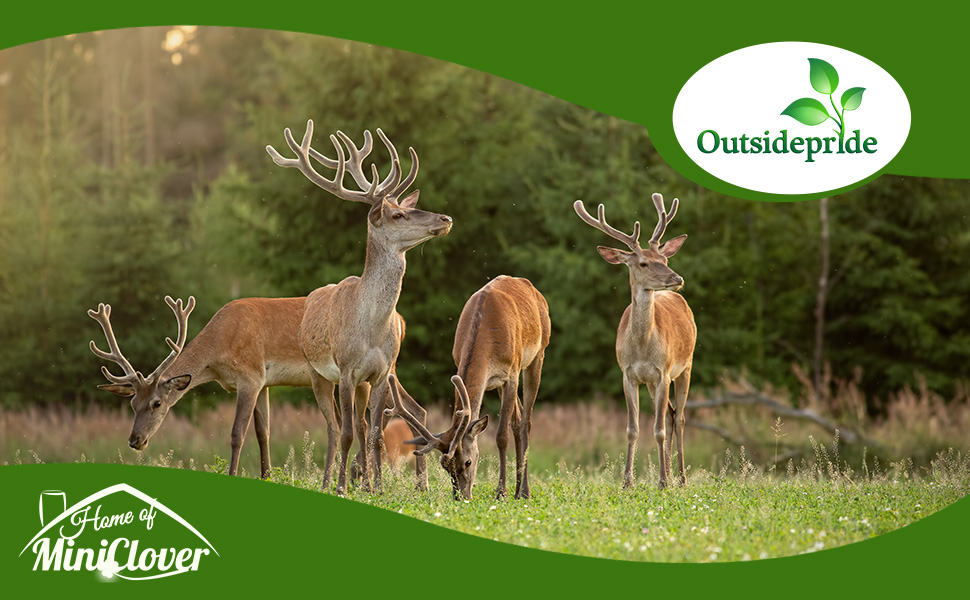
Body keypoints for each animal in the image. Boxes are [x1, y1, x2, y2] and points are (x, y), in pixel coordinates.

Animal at [88, 295, 346, 483]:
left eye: (157, 403)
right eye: (133, 404)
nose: (135, 440)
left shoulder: (250, 377)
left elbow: (237, 434)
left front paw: (233, 475)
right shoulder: (264, 383)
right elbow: (263, 433)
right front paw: (267, 477)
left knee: (338, 424)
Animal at [266, 120, 451, 495]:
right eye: (398, 214)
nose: (445, 218)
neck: (371, 329)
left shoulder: (380, 373)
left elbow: (377, 431)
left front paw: (377, 485)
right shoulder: (347, 371)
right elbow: (348, 431)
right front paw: (341, 486)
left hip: (369, 380)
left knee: (369, 424)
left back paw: (365, 480)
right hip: (317, 373)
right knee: (335, 427)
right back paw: (328, 481)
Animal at [385, 275, 551, 500]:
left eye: (468, 462)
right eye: (446, 467)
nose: (461, 497)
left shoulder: (512, 372)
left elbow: (501, 435)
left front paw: (501, 492)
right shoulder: (470, 365)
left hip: (538, 354)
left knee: (526, 421)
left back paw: (523, 491)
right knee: (517, 420)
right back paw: (518, 490)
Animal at [574, 194, 697, 489]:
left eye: (664, 259)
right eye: (643, 263)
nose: (677, 278)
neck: (641, 347)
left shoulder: (663, 372)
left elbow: (658, 430)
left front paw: (662, 481)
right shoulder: (628, 374)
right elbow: (633, 428)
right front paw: (627, 481)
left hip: (686, 366)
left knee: (680, 417)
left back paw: (681, 478)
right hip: (653, 382)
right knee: (671, 414)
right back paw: (672, 475)